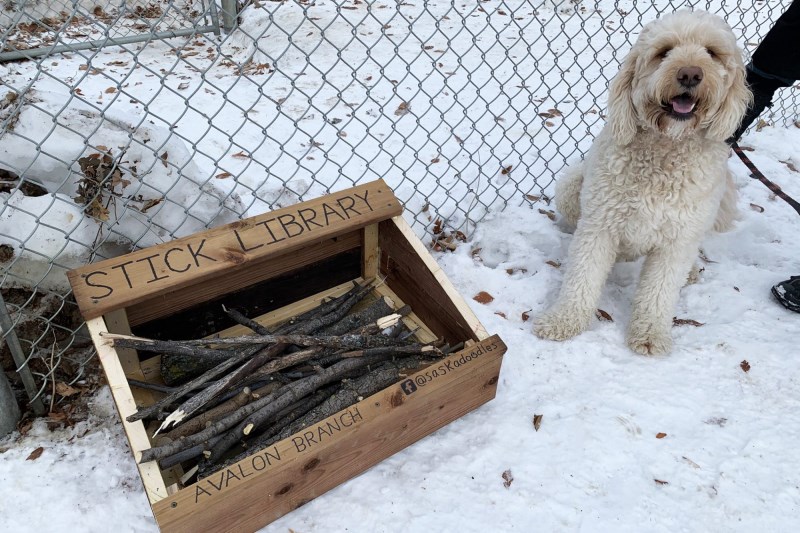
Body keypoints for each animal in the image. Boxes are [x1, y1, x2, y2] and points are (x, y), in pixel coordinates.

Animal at [536, 11, 752, 354]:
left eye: (711, 52)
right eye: (664, 52)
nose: (690, 74)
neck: (665, 152)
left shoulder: (677, 241)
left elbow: (660, 292)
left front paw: (650, 334)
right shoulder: (600, 224)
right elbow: (582, 278)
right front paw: (563, 320)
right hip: (571, 185)